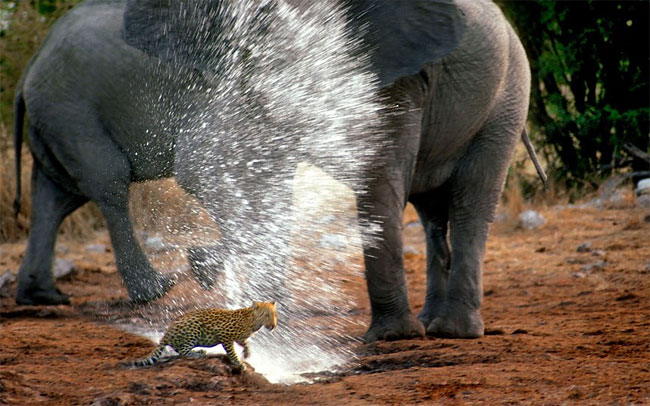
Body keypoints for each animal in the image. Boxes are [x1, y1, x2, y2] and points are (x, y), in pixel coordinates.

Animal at [127, 301, 277, 370]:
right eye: (266, 315)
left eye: (274, 314)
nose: (274, 326)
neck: (253, 322)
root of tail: (167, 331)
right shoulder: (224, 335)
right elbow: (232, 352)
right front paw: (238, 363)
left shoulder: (239, 337)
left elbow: (245, 343)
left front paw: (246, 353)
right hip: (194, 327)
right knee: (183, 351)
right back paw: (198, 353)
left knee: (178, 349)